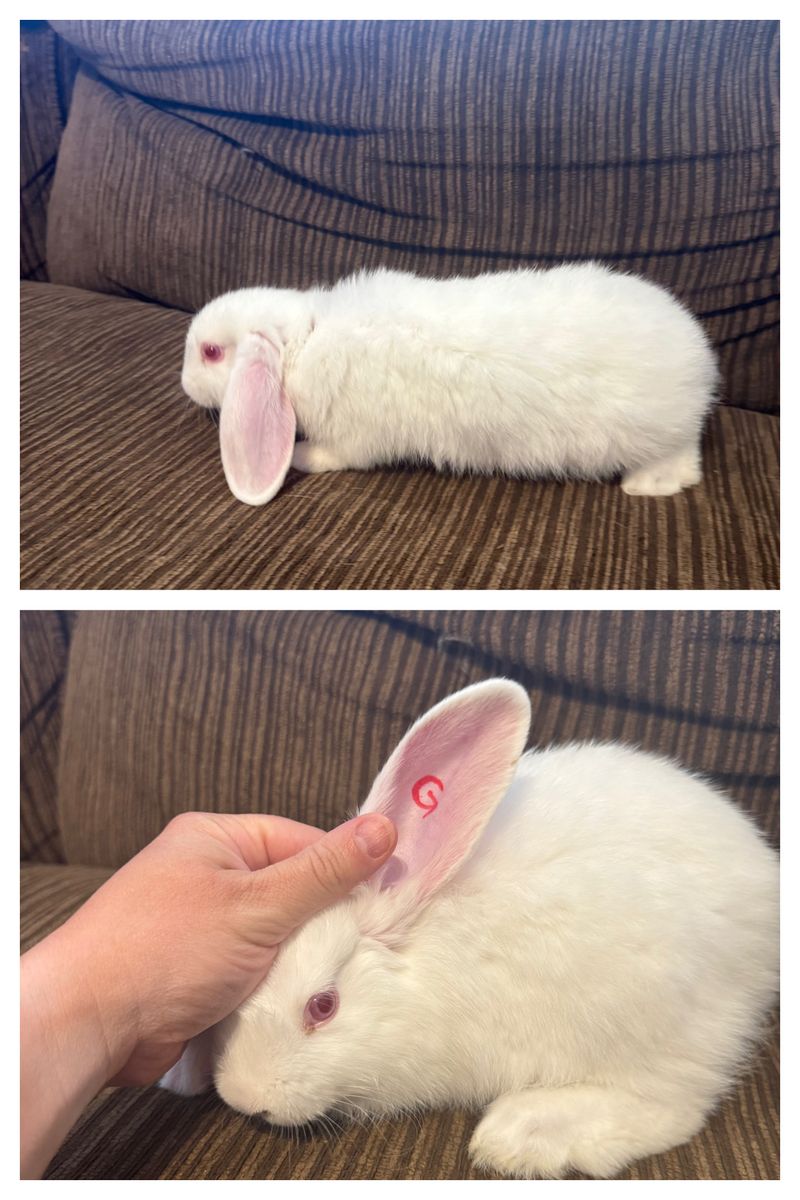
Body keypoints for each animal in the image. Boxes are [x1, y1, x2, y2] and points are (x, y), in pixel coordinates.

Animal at [161, 679, 778, 1180]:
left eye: (323, 1006)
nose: (245, 1099)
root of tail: (762, 880)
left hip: (649, 1010)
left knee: (674, 1105)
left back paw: (520, 1136)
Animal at [180, 264, 718, 505]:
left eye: (211, 352)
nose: (184, 384)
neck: (306, 339)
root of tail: (701, 363)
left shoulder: (355, 437)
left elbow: (337, 455)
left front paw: (301, 456)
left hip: (656, 437)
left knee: (683, 463)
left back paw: (645, 486)